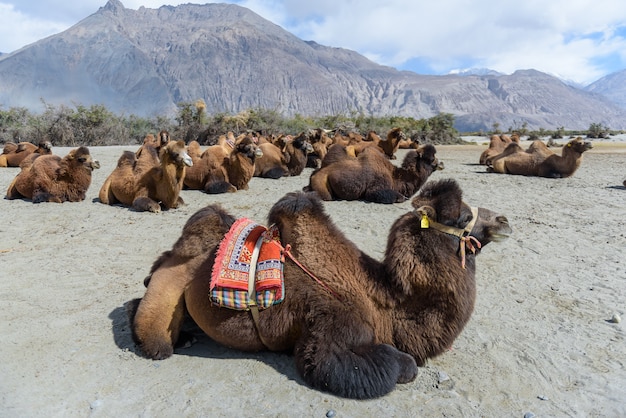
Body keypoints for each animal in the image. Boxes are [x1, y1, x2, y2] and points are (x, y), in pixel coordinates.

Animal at [124, 179, 510, 398]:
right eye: (463, 217)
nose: (504, 220)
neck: (384, 301)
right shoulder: (334, 326)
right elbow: (388, 366)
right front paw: (402, 363)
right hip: (166, 292)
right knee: (155, 338)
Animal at [304, 145, 442, 203]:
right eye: (430, 159)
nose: (440, 164)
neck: (395, 177)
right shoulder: (377, 189)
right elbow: (391, 196)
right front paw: (402, 197)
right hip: (322, 187)